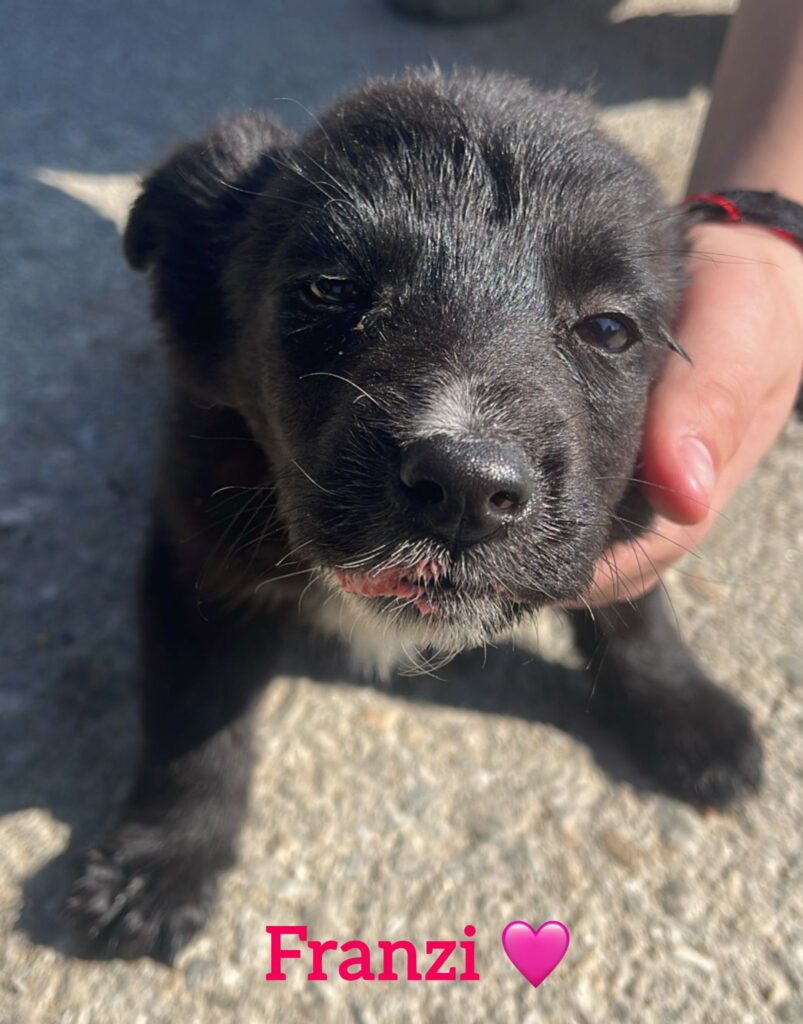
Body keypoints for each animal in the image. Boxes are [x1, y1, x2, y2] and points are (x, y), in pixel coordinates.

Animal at [65, 69, 762, 962]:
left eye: (609, 328)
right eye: (329, 290)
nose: (465, 487)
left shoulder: (621, 507)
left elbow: (634, 610)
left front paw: (684, 711)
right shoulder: (200, 557)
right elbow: (196, 720)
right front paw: (162, 862)